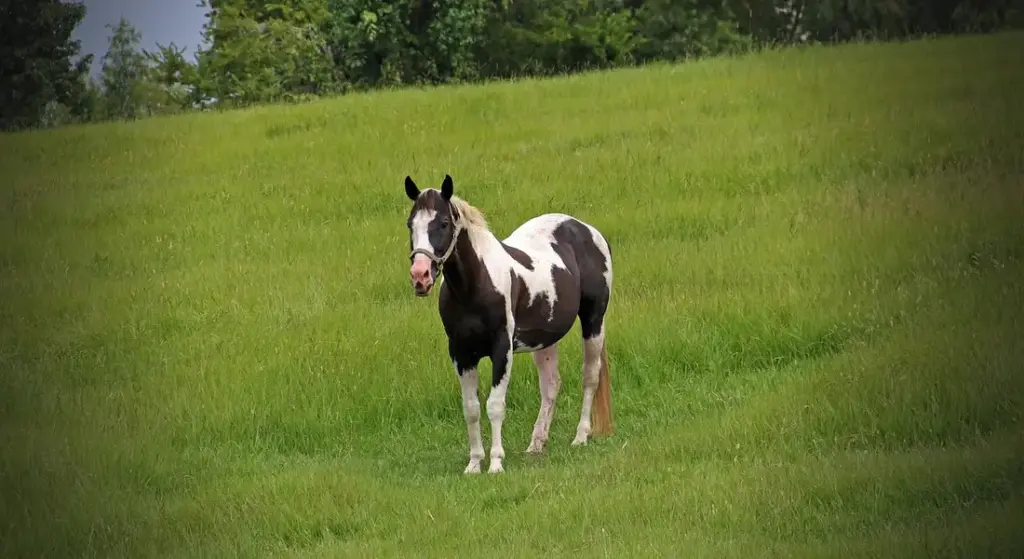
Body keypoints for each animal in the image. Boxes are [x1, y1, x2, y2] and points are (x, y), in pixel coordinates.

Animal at [403, 173, 615, 474]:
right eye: (411, 224)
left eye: (443, 223)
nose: (420, 276)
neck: (475, 286)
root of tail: (587, 229)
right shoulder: (460, 353)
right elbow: (471, 408)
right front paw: (473, 464)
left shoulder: (501, 349)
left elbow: (495, 405)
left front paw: (495, 463)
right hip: (545, 338)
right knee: (551, 385)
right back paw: (536, 444)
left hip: (593, 321)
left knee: (590, 376)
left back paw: (581, 436)